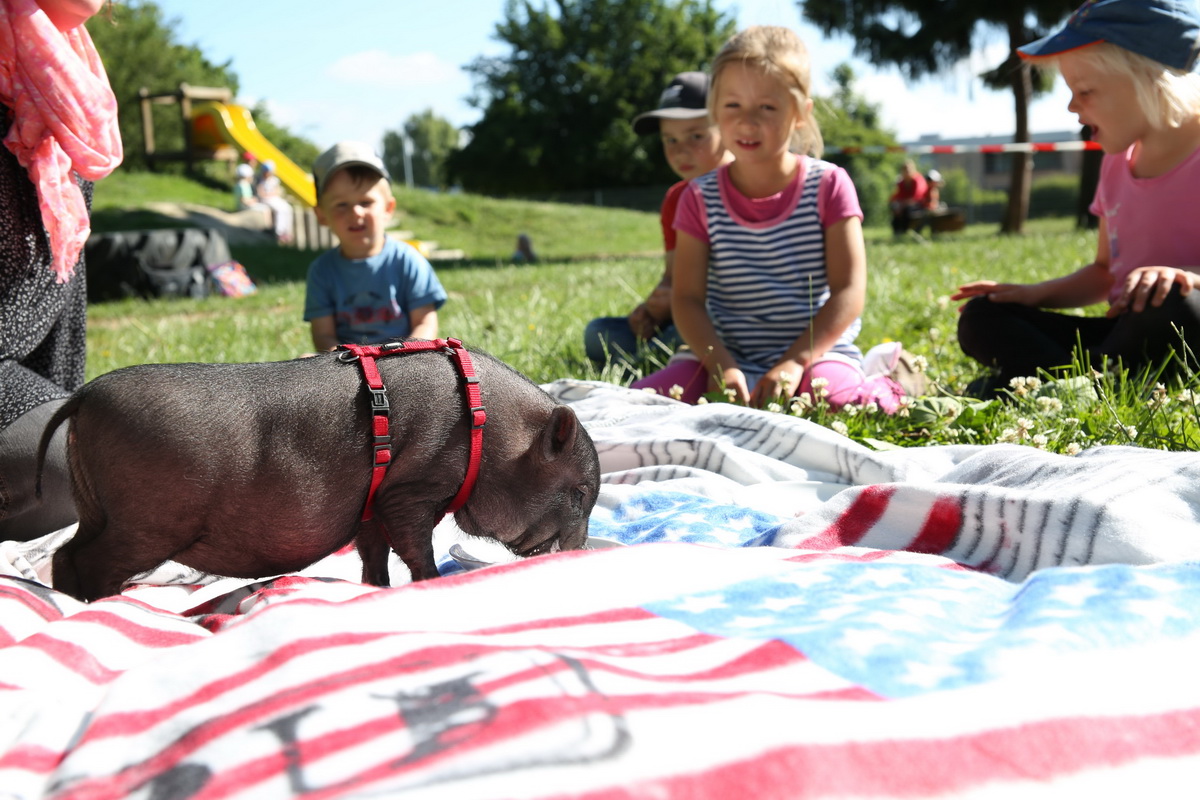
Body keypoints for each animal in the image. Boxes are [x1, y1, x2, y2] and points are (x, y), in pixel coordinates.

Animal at [36, 335, 600, 599]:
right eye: (577, 493)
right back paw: (109, 605)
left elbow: (374, 553)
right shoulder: (412, 489)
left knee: (65, 554)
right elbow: (415, 547)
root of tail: (84, 396)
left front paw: (375, 590)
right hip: (148, 521)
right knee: (90, 561)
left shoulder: (373, 503)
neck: (487, 427)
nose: (581, 554)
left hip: (98, 509)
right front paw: (430, 580)